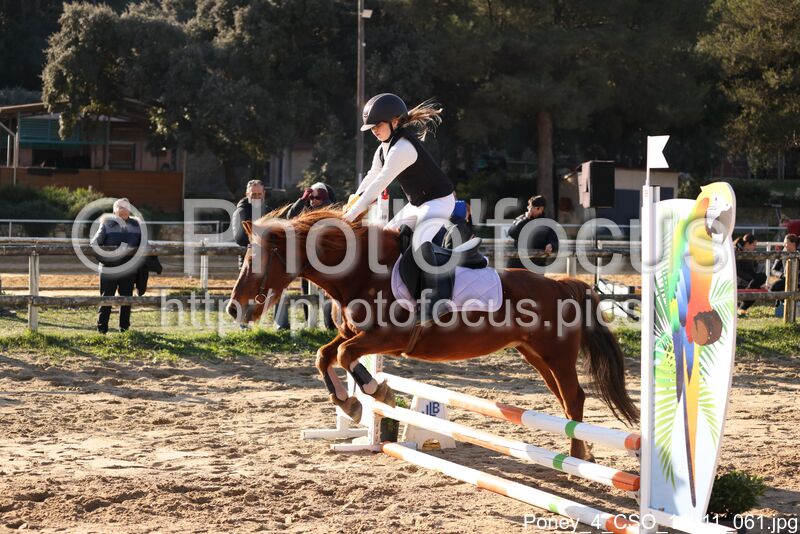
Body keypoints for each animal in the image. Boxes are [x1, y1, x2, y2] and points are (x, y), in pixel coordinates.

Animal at [227, 207, 638, 461]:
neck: (362, 271)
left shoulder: (386, 338)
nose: (234, 308)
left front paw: (378, 393)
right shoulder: (354, 335)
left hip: (556, 356)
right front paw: (349, 402)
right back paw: (582, 453)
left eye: (256, 261)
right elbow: (325, 355)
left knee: (575, 398)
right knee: (568, 401)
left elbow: (343, 356)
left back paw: (576, 458)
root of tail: (563, 284)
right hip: (537, 357)